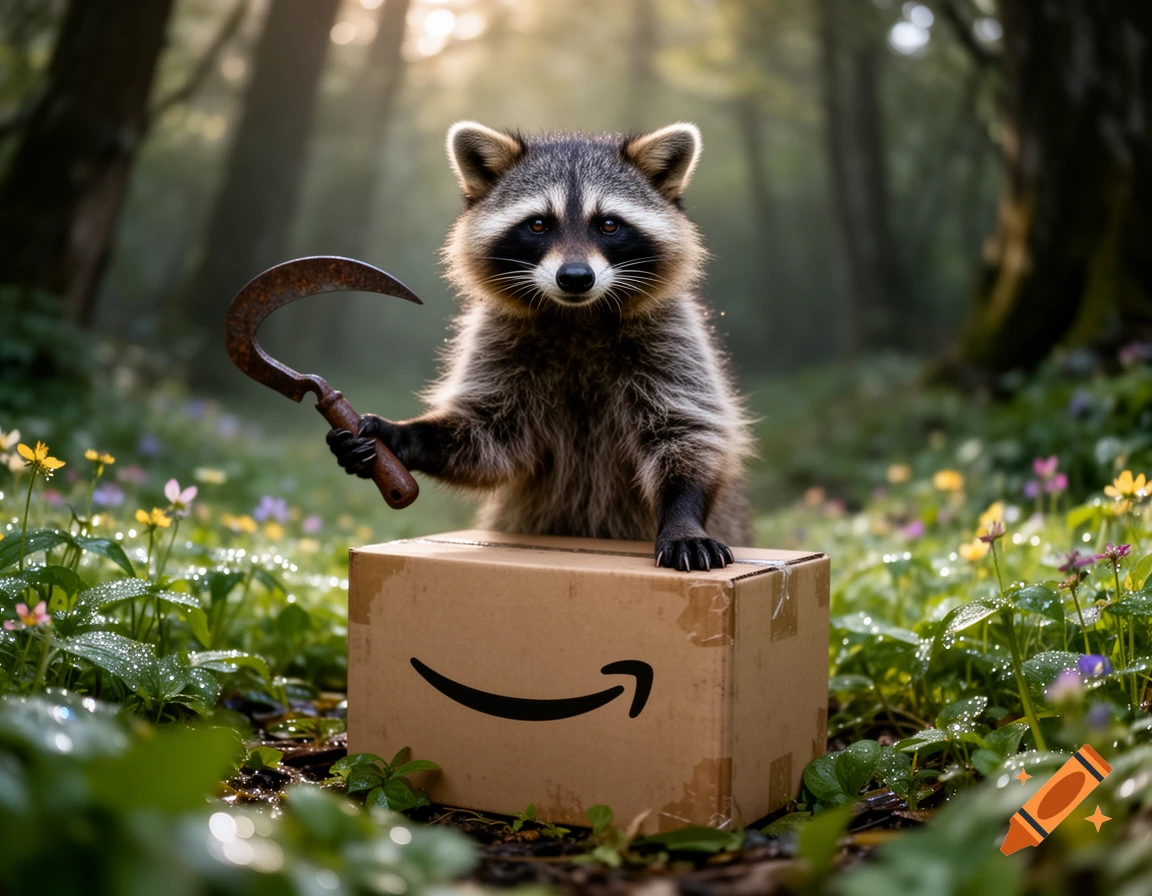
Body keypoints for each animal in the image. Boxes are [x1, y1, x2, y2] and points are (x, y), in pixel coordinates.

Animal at [328, 122, 754, 571]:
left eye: (608, 224)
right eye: (537, 225)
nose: (575, 277)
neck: (577, 315)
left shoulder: (672, 336)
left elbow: (687, 429)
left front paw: (683, 516)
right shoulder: (498, 336)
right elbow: (489, 433)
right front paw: (398, 435)